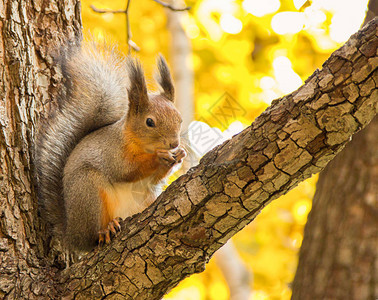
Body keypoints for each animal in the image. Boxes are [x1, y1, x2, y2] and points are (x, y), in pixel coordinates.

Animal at [35, 41, 186, 252]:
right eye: (149, 122)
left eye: (180, 119)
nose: (174, 143)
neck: (142, 145)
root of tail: (71, 234)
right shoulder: (111, 151)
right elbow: (126, 170)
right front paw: (159, 157)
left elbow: (154, 179)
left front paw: (179, 155)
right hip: (88, 190)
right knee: (91, 236)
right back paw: (105, 229)